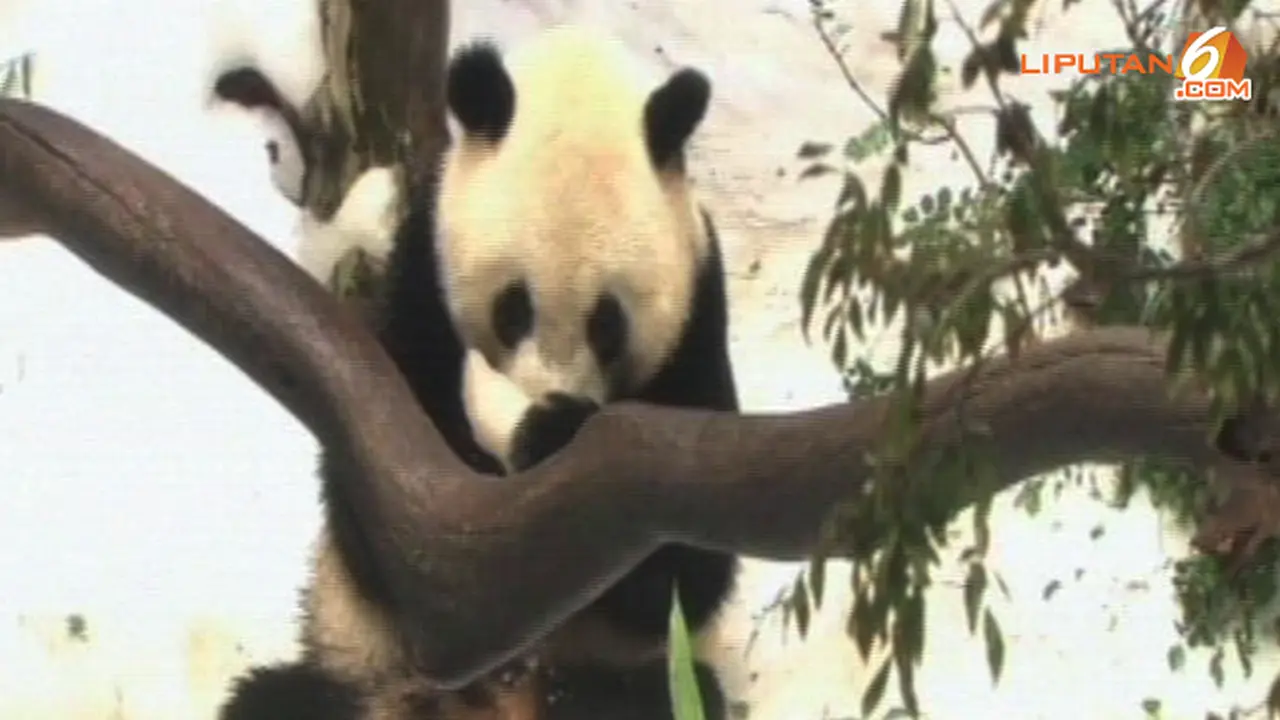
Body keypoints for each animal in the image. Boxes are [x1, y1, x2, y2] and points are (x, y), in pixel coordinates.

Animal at [212, 24, 738, 720]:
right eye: (514, 308)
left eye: (608, 322)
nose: (544, 396)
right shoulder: (420, 284)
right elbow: (372, 517)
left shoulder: (697, 324)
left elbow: (691, 572)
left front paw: (554, 433)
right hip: (361, 664)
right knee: (280, 698)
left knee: (660, 693)